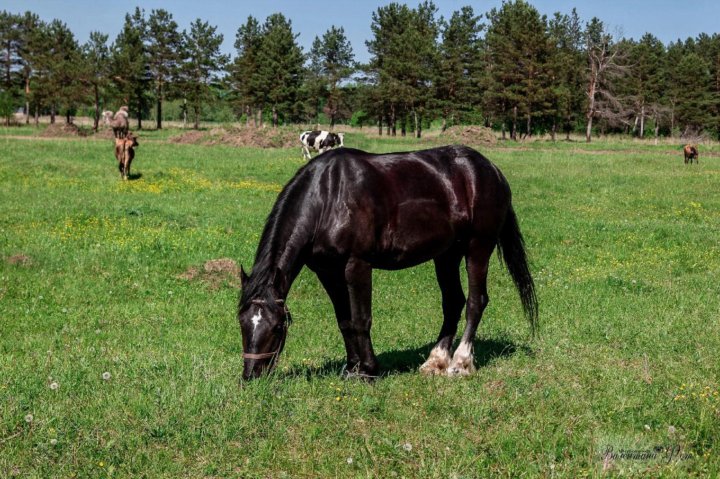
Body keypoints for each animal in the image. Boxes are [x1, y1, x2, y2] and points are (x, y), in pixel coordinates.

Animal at [239, 146, 536, 382]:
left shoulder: (356, 264)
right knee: (453, 302)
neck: (327, 197)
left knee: (476, 301)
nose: (251, 375)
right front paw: (352, 367)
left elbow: (361, 319)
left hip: (478, 247)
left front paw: (368, 370)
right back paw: (435, 361)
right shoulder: (327, 271)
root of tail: (491, 169)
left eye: (278, 326)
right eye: (241, 322)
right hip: (447, 254)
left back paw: (460, 363)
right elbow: (344, 320)